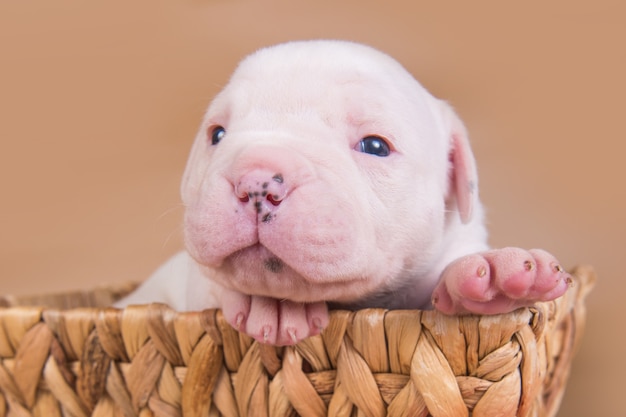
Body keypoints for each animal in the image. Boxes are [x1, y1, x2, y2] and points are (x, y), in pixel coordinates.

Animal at [118, 39, 572, 344]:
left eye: (375, 146)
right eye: (217, 134)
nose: (254, 180)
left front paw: (498, 271)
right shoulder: (188, 288)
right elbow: (209, 282)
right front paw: (275, 303)